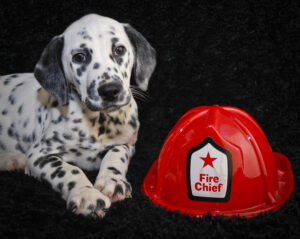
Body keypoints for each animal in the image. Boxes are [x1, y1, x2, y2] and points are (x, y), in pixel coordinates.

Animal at [0, 14, 155, 218]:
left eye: (119, 50)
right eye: (80, 57)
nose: (110, 91)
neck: (98, 124)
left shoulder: (127, 143)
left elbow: (116, 153)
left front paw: (112, 180)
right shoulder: (39, 155)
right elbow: (68, 170)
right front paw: (86, 194)